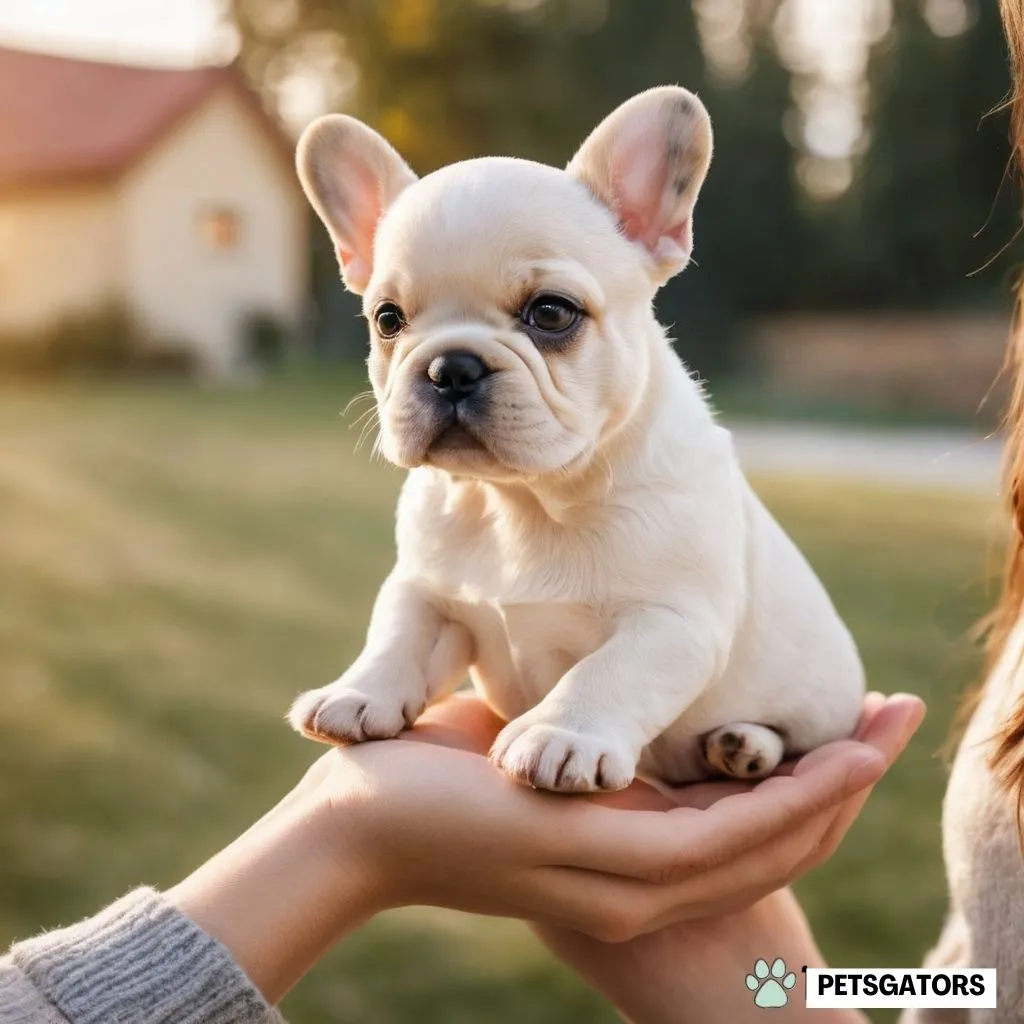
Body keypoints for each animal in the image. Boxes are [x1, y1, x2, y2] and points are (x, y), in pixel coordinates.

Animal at [288, 88, 864, 790]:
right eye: (387, 320)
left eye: (551, 312)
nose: (450, 366)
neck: (521, 501)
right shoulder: (425, 587)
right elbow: (397, 631)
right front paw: (359, 692)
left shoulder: (671, 620)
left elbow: (608, 672)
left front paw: (560, 736)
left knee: (793, 737)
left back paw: (746, 743)